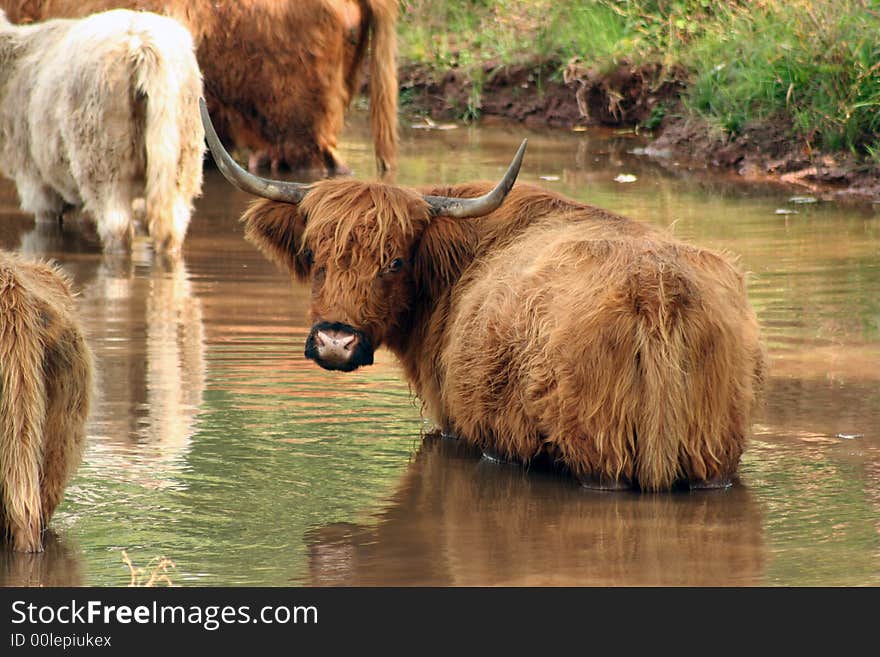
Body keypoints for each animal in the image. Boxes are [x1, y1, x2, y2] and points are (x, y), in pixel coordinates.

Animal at [0, 8, 205, 254]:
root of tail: (142, 43)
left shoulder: (36, 184)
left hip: (102, 164)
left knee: (118, 232)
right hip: (182, 163)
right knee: (169, 232)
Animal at [203, 101, 768, 492]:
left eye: (395, 261)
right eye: (314, 255)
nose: (335, 343)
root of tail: (657, 290)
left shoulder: (455, 424)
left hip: (599, 454)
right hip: (711, 459)